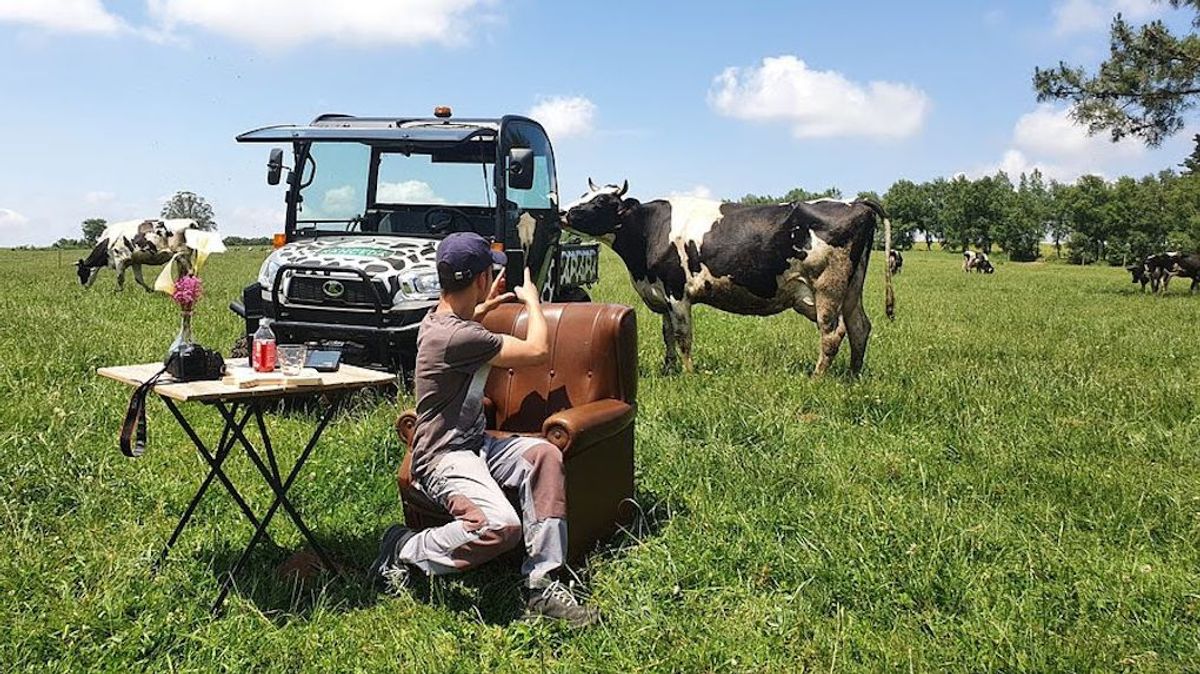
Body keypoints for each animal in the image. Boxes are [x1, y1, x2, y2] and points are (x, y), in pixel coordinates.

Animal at [561, 178, 892, 374]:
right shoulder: (661, 294)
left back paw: (817, 377)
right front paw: (669, 371)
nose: (562, 212)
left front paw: (689, 374)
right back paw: (853, 375)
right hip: (851, 288)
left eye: (600, 202)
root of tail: (856, 201)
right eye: (585, 193)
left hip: (827, 287)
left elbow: (683, 336)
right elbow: (667, 335)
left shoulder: (678, 292)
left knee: (833, 333)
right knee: (859, 327)